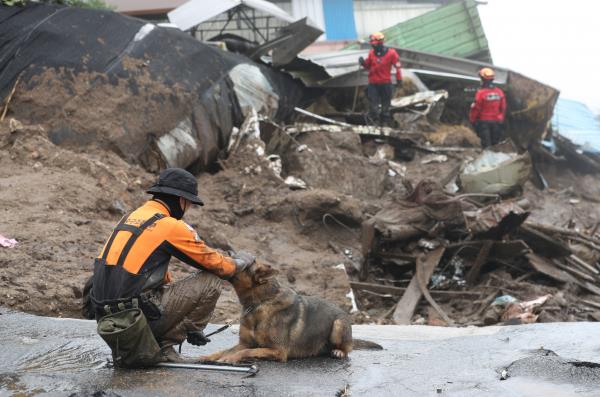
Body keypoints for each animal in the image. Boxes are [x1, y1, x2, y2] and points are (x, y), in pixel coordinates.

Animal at [202, 260, 380, 362]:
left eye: (243, 265)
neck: (260, 302)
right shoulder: (243, 343)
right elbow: (225, 350)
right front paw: (207, 357)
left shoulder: (278, 351)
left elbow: (247, 351)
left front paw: (230, 358)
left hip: (338, 325)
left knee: (347, 349)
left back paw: (338, 352)